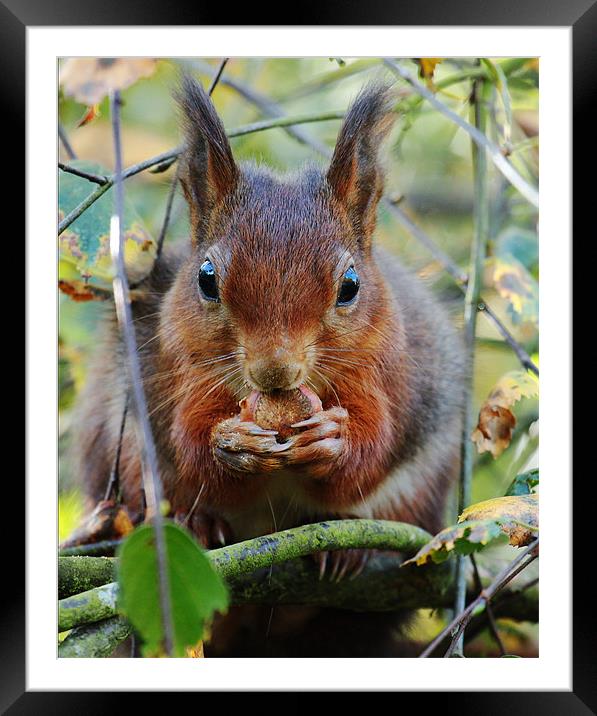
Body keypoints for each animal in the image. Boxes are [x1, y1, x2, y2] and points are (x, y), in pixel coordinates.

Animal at [72, 78, 466, 656]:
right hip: (115, 452)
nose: (274, 372)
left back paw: (344, 546)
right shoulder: (181, 371)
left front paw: (333, 440)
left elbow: (375, 444)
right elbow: (188, 439)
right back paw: (195, 524)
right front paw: (230, 443)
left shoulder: (382, 374)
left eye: (350, 286)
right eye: (206, 279)